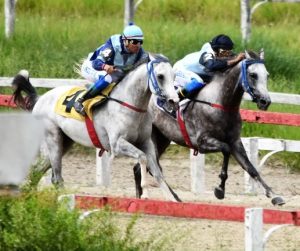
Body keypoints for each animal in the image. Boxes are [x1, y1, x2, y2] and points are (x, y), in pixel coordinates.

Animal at [11, 55, 180, 202]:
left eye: (174, 76)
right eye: (160, 76)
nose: (174, 101)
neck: (130, 105)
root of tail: (40, 98)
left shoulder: (146, 142)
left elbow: (157, 172)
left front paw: (173, 200)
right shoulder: (117, 145)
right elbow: (142, 157)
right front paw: (145, 193)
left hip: (63, 142)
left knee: (38, 171)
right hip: (52, 139)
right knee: (56, 177)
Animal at [134, 50, 286, 205]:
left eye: (267, 75)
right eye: (253, 75)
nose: (265, 101)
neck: (222, 104)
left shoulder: (235, 142)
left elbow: (250, 168)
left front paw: (274, 195)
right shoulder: (203, 142)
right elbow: (226, 150)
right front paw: (220, 189)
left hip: (162, 138)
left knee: (143, 168)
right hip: (152, 138)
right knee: (152, 168)